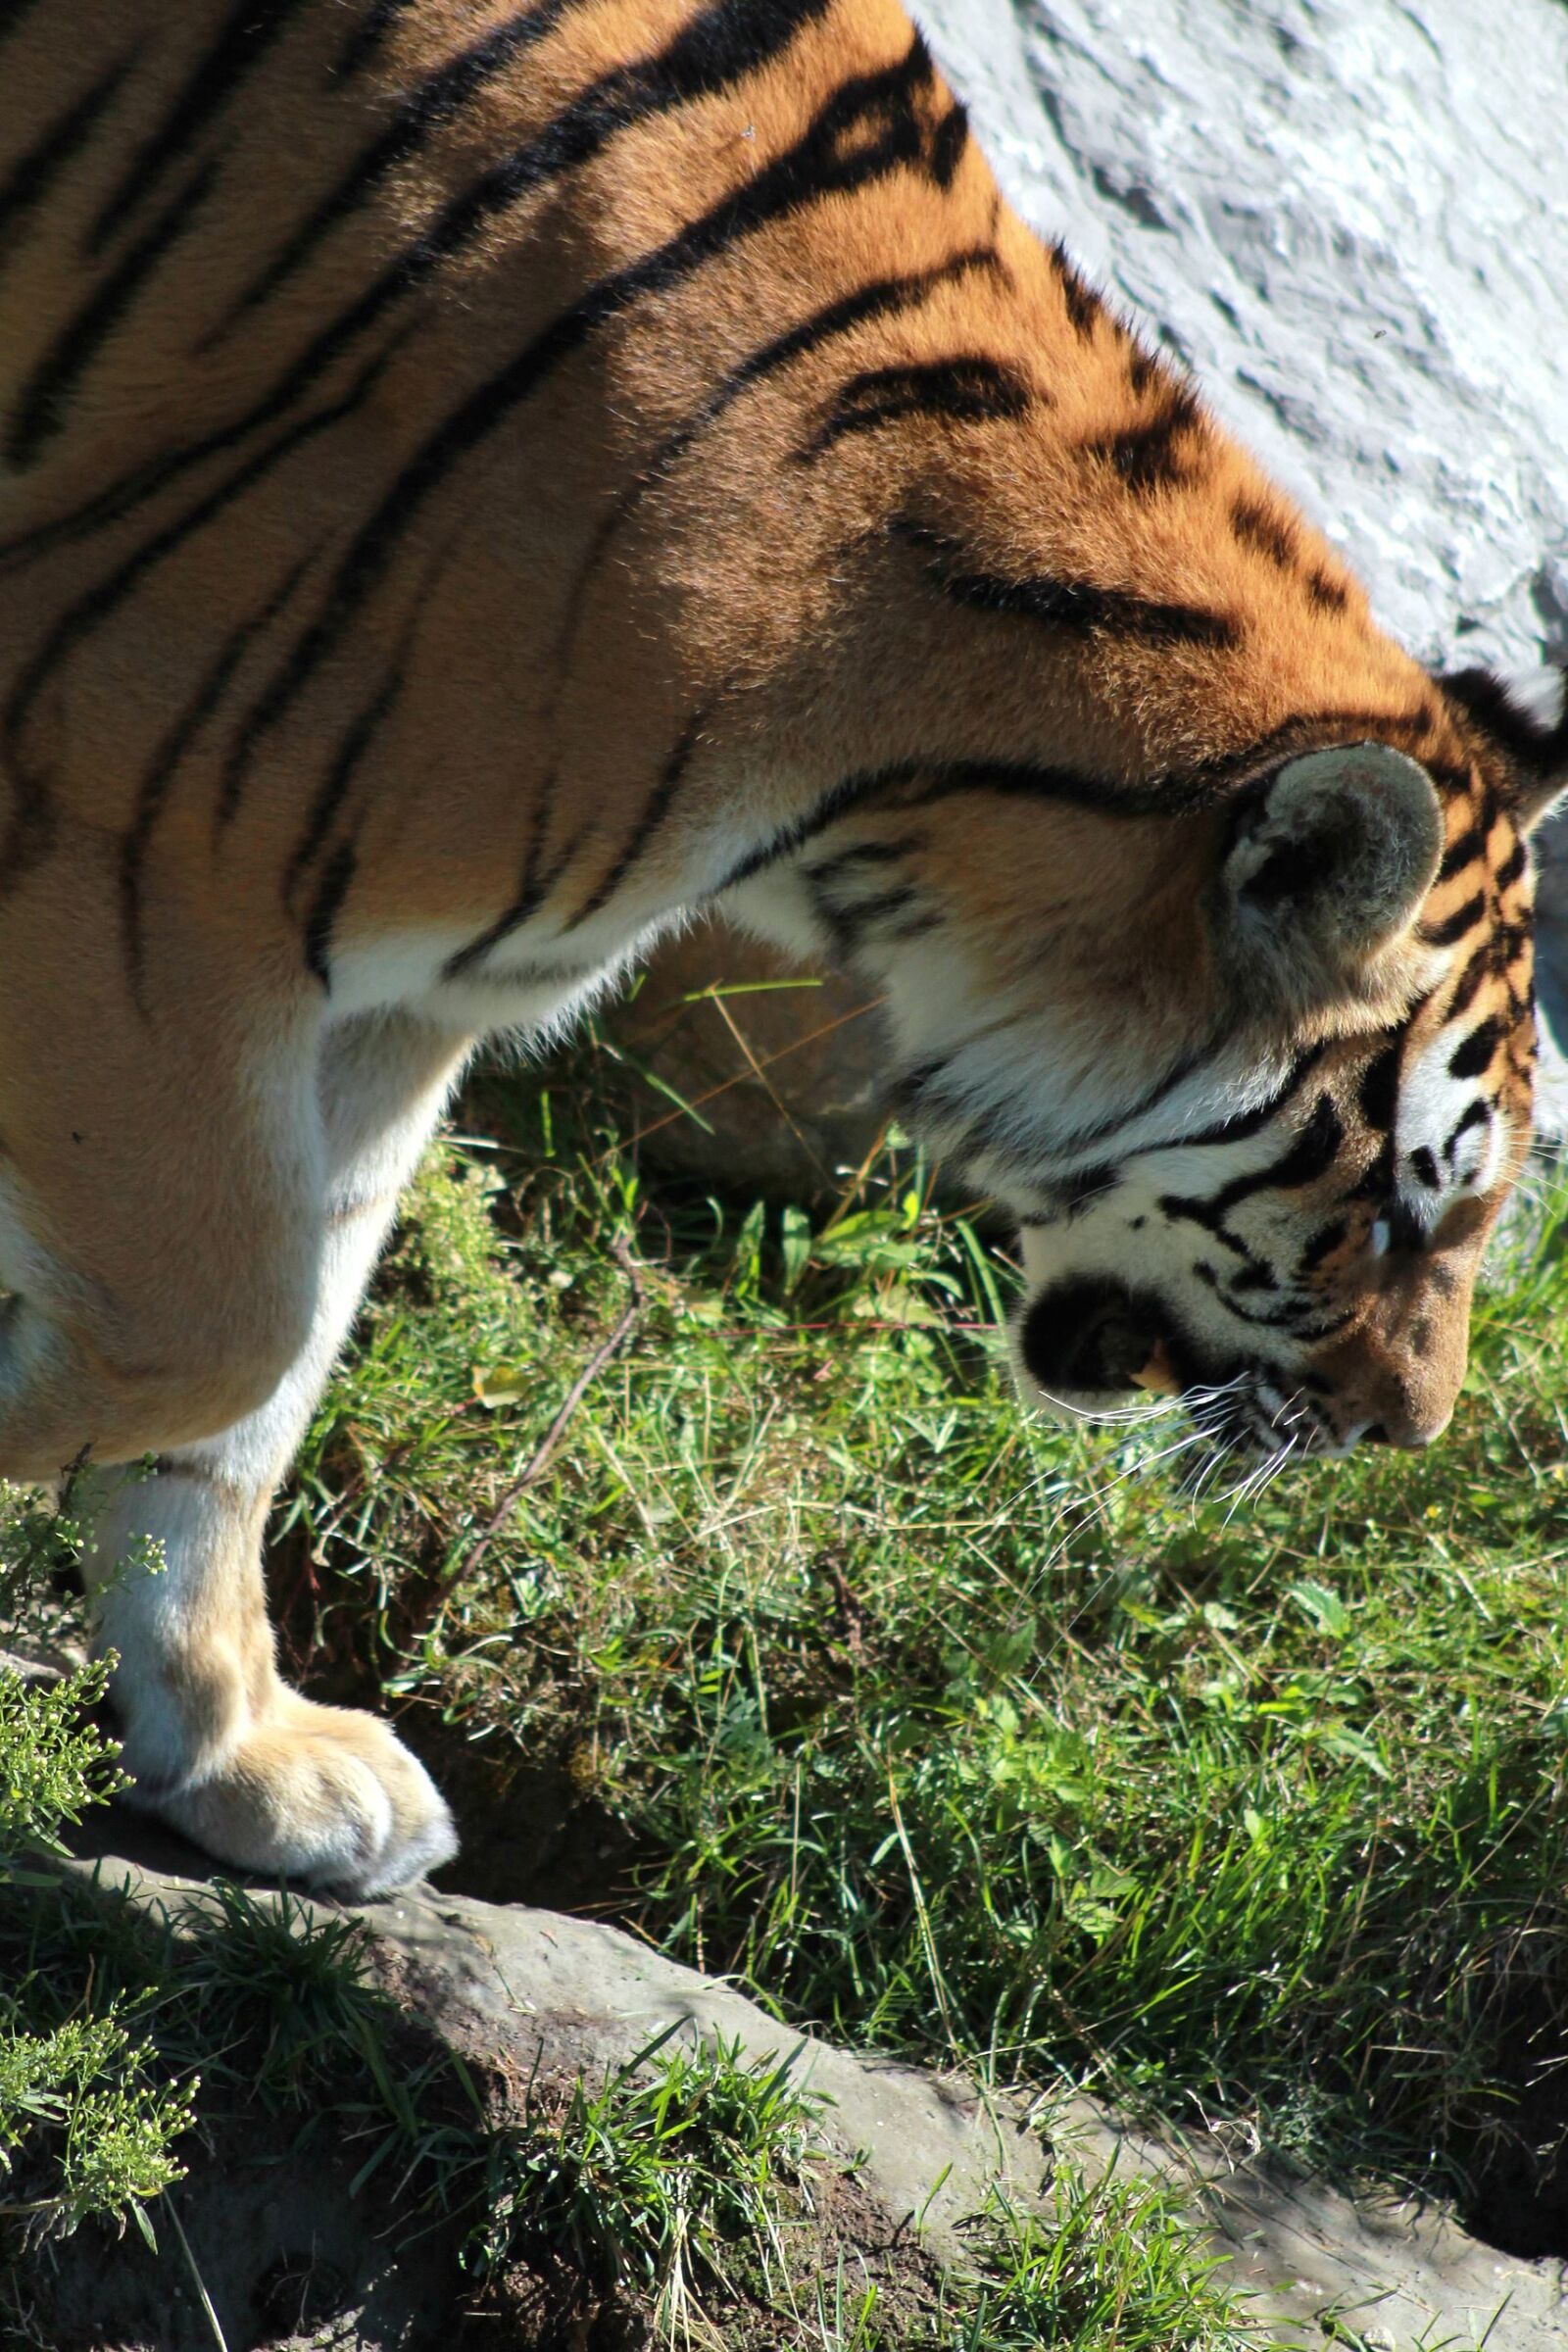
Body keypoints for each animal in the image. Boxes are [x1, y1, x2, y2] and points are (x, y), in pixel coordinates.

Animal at [1, 0, 1564, 1899]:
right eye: (1407, 1200)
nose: (1414, 1433)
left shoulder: (392, 995)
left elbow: (259, 1382)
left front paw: (246, 1758)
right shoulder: (134, 833)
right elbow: (219, 1323)